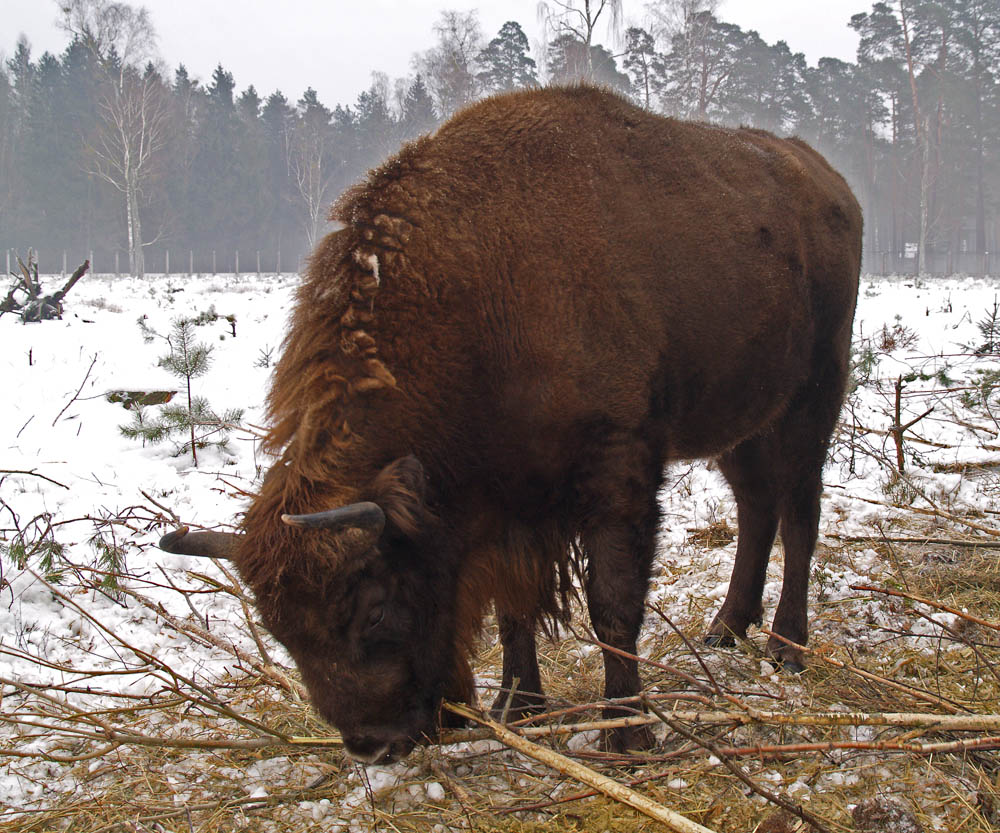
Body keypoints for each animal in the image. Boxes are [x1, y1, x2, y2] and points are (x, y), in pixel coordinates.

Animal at [160, 84, 864, 760]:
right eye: (281, 632)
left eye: (375, 610)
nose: (374, 745)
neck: (481, 293)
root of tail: (832, 185)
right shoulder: (507, 499)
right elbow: (512, 609)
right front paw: (517, 708)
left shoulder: (616, 466)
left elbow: (613, 605)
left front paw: (627, 733)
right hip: (743, 422)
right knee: (756, 507)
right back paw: (725, 630)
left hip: (811, 404)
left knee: (799, 516)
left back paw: (787, 648)